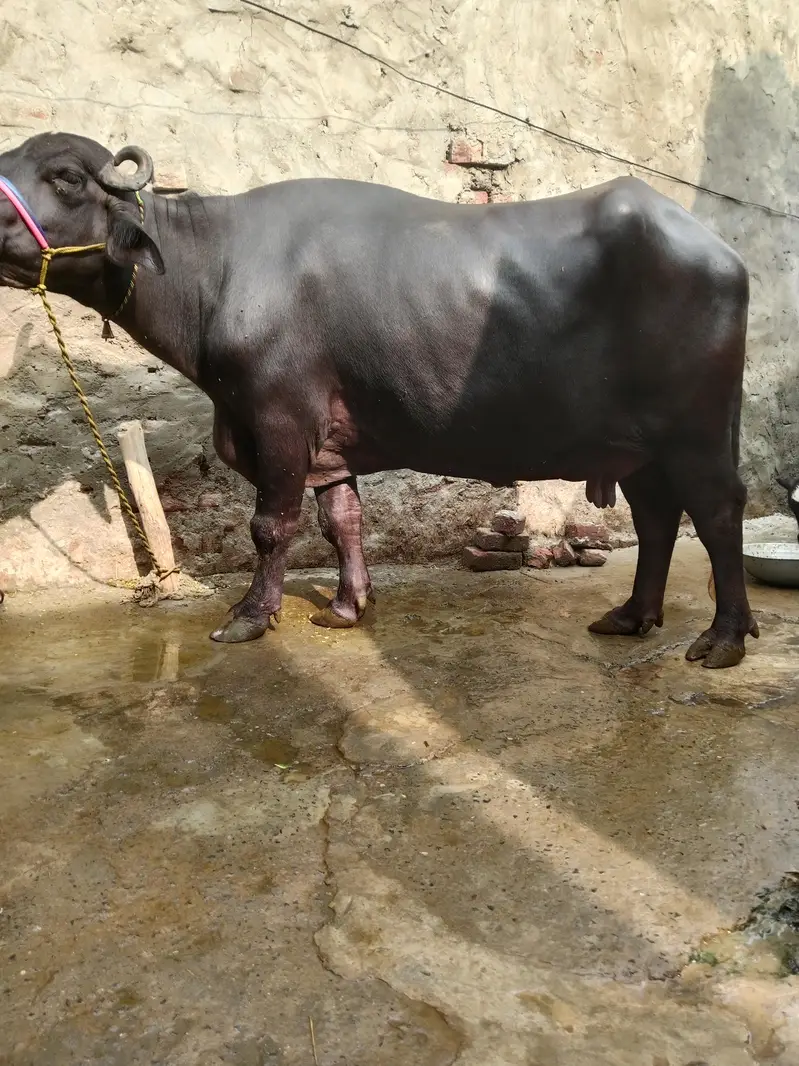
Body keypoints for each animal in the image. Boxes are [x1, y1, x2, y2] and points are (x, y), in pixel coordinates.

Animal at [0, 132, 759, 667]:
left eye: (66, 177)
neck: (216, 270)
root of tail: (722, 255)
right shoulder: (328, 444)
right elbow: (341, 520)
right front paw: (345, 605)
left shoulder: (278, 420)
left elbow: (271, 526)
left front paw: (249, 615)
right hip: (641, 447)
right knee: (658, 518)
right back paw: (631, 616)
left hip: (694, 432)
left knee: (718, 513)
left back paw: (723, 638)